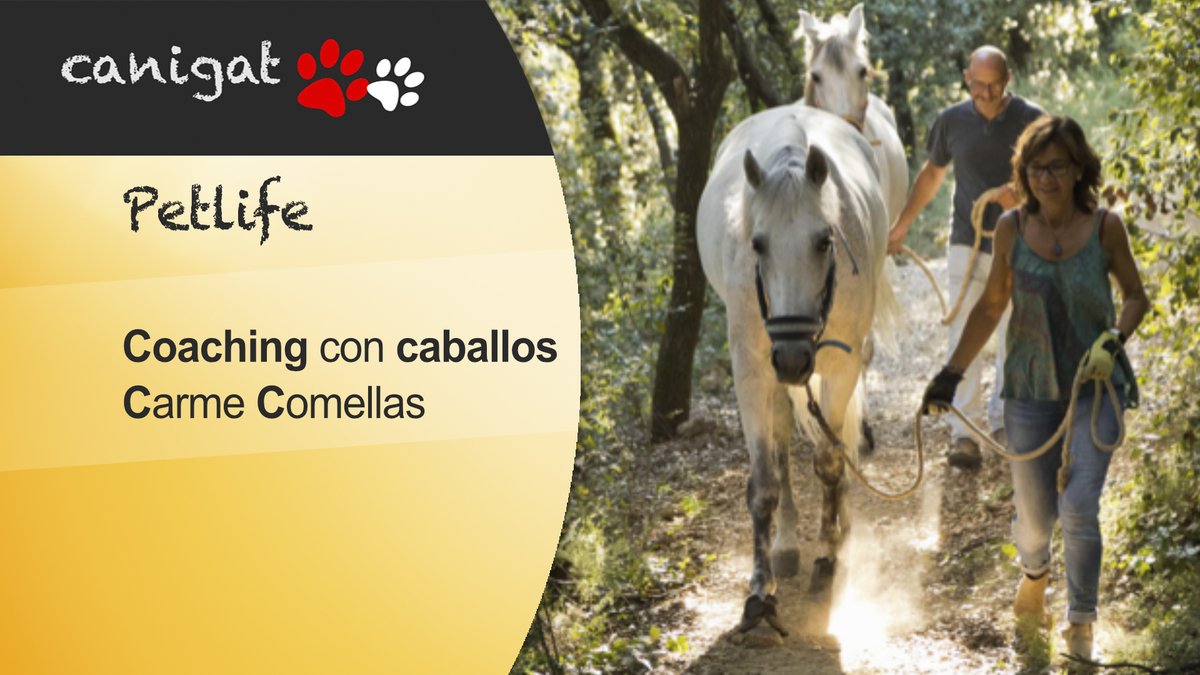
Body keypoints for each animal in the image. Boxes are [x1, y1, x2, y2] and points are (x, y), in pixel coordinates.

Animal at [696, 106, 900, 635]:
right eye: (758, 244)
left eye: (824, 241)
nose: (790, 356)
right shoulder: (751, 371)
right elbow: (765, 481)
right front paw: (760, 590)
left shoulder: (841, 366)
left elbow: (829, 458)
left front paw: (827, 557)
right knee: (785, 440)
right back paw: (786, 544)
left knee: (837, 441)